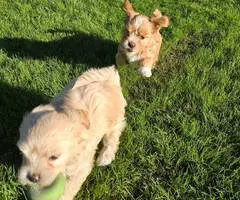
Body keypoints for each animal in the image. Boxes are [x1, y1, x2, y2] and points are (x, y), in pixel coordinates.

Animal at [17, 66, 127, 200]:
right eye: (23, 153)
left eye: (54, 157)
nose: (32, 178)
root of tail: (109, 75)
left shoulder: (81, 166)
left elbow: (70, 186)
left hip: (114, 118)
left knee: (113, 135)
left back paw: (105, 157)